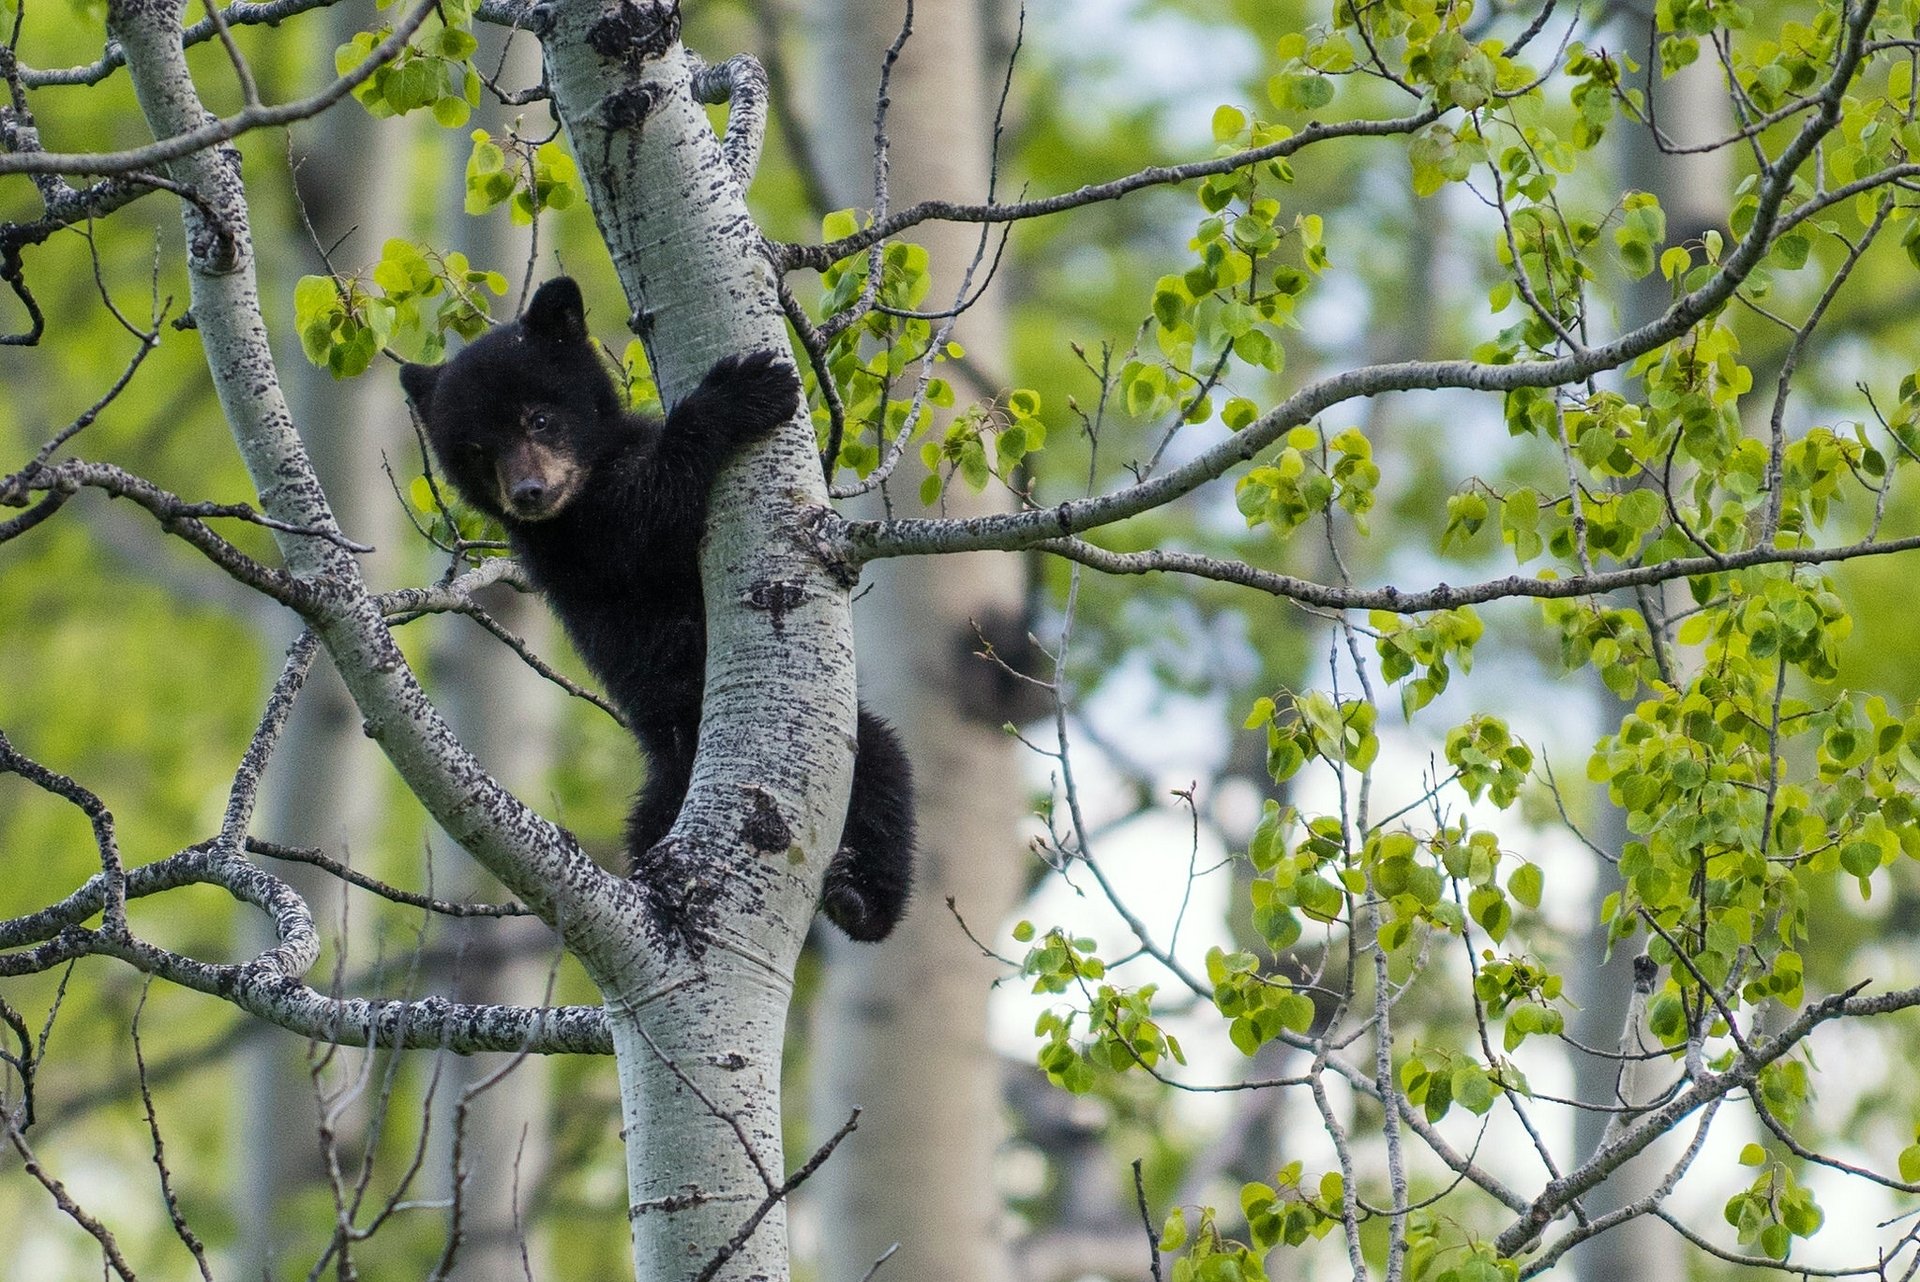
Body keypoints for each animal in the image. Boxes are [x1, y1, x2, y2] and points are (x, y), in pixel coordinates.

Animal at [399, 276, 914, 943]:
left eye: (539, 418)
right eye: (478, 450)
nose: (529, 493)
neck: (589, 478)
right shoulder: (575, 544)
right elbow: (646, 522)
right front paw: (739, 389)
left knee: (886, 785)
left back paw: (860, 898)